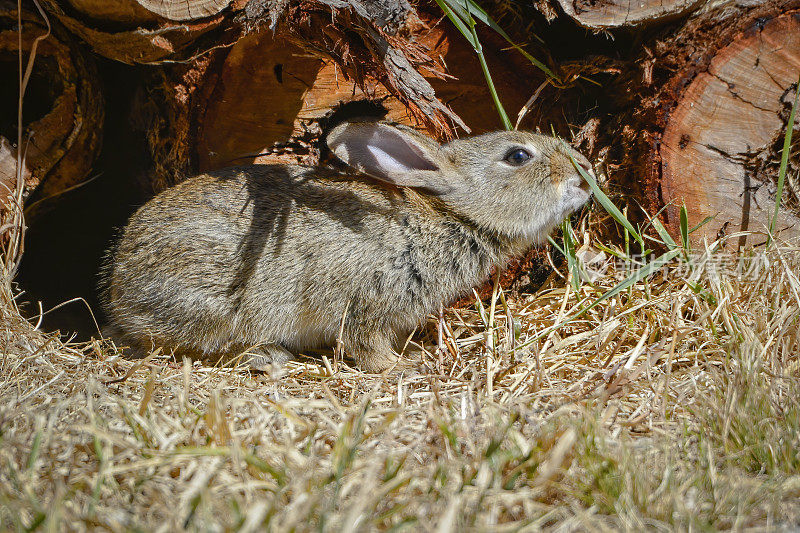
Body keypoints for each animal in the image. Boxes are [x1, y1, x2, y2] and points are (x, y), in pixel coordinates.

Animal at [100, 119, 592, 370]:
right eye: (518, 156)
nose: (584, 170)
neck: (450, 215)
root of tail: (117, 283)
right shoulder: (367, 300)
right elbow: (365, 345)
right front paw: (405, 366)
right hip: (209, 303)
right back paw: (266, 356)